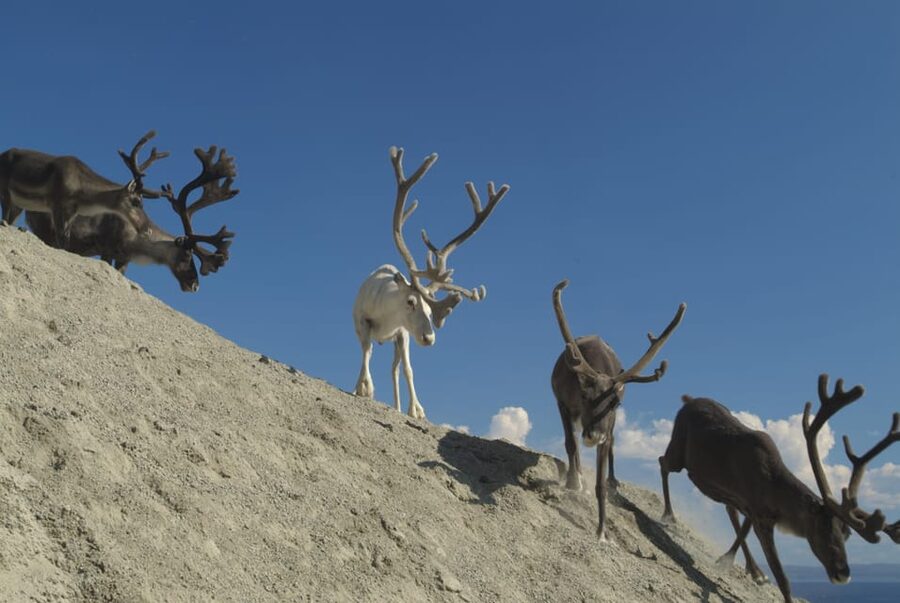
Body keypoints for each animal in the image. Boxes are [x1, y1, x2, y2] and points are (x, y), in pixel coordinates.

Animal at [0, 131, 169, 247]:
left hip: (19, 204)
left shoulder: (72, 213)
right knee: (5, 216)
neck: (83, 194)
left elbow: (66, 241)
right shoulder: (56, 204)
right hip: (6, 192)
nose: (148, 231)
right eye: (136, 202)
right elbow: (61, 240)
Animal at [23, 145, 238, 292]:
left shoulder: (124, 259)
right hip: (46, 230)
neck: (136, 239)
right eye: (186, 255)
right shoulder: (106, 248)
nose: (194, 285)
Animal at [352, 146, 510, 419]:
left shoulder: (403, 332)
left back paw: (397, 406)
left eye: (429, 308)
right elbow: (366, 351)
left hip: (398, 340)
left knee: (395, 368)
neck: (386, 311)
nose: (429, 338)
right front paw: (364, 387)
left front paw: (416, 409)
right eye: (410, 301)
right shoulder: (364, 320)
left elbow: (408, 369)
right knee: (374, 353)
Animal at [551, 279, 686, 541]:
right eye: (584, 396)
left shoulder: (608, 425)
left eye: (616, 403)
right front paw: (574, 481)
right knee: (575, 445)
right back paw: (579, 475)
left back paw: (613, 479)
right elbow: (571, 444)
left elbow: (600, 483)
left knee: (612, 446)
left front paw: (602, 531)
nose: (594, 435)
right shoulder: (562, 402)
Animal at [658, 374, 900, 602]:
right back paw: (668, 515)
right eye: (821, 528)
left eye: (847, 533)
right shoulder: (761, 516)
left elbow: (744, 528)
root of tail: (688, 401)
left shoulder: (750, 506)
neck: (775, 491)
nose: (843, 573)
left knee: (729, 510)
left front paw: (746, 567)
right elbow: (782, 577)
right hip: (678, 451)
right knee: (663, 462)